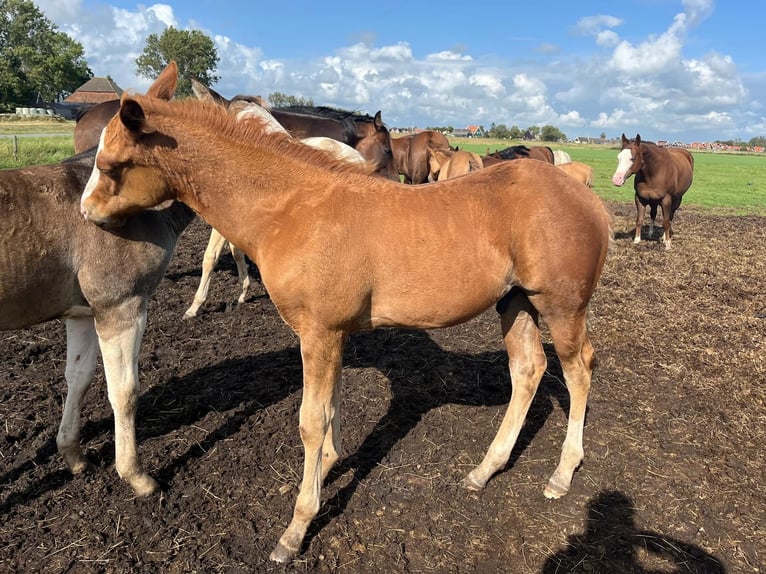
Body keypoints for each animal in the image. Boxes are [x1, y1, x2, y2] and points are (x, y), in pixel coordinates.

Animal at [1, 145, 198, 500]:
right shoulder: (120, 307)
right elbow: (125, 391)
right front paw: (136, 476)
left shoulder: (82, 314)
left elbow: (78, 378)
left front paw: (74, 457)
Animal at [81, 60, 616, 564]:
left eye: (110, 164)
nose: (87, 213)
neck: (293, 207)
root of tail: (587, 196)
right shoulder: (332, 334)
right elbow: (331, 408)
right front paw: (328, 467)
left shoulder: (319, 332)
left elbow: (310, 421)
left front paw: (296, 528)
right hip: (516, 301)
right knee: (529, 368)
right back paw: (485, 469)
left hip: (562, 306)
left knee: (578, 370)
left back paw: (562, 473)